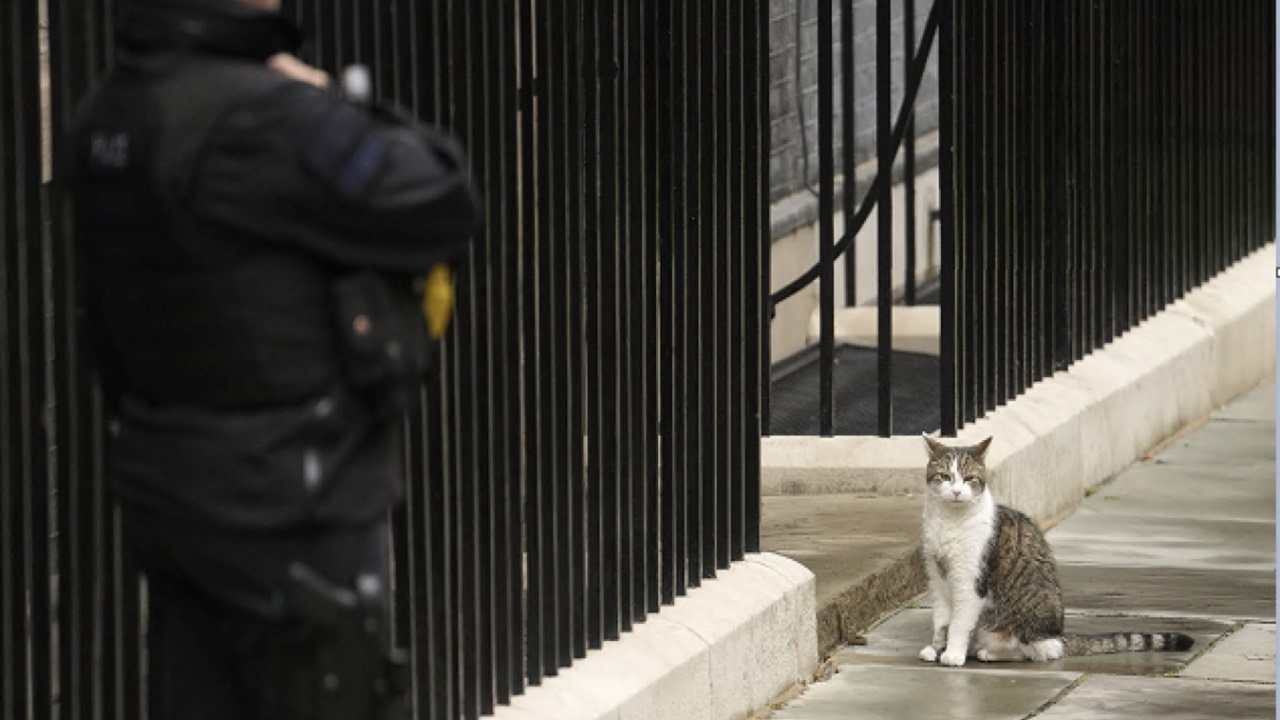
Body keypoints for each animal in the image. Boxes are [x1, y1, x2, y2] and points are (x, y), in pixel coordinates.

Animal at [921, 435, 1187, 666]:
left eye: (969, 478)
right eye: (945, 476)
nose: (956, 492)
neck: (949, 520)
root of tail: (1058, 635)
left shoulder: (970, 582)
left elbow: (958, 623)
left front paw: (953, 654)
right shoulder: (938, 578)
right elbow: (941, 621)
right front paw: (936, 649)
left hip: (1017, 625)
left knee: (1037, 651)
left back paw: (990, 652)